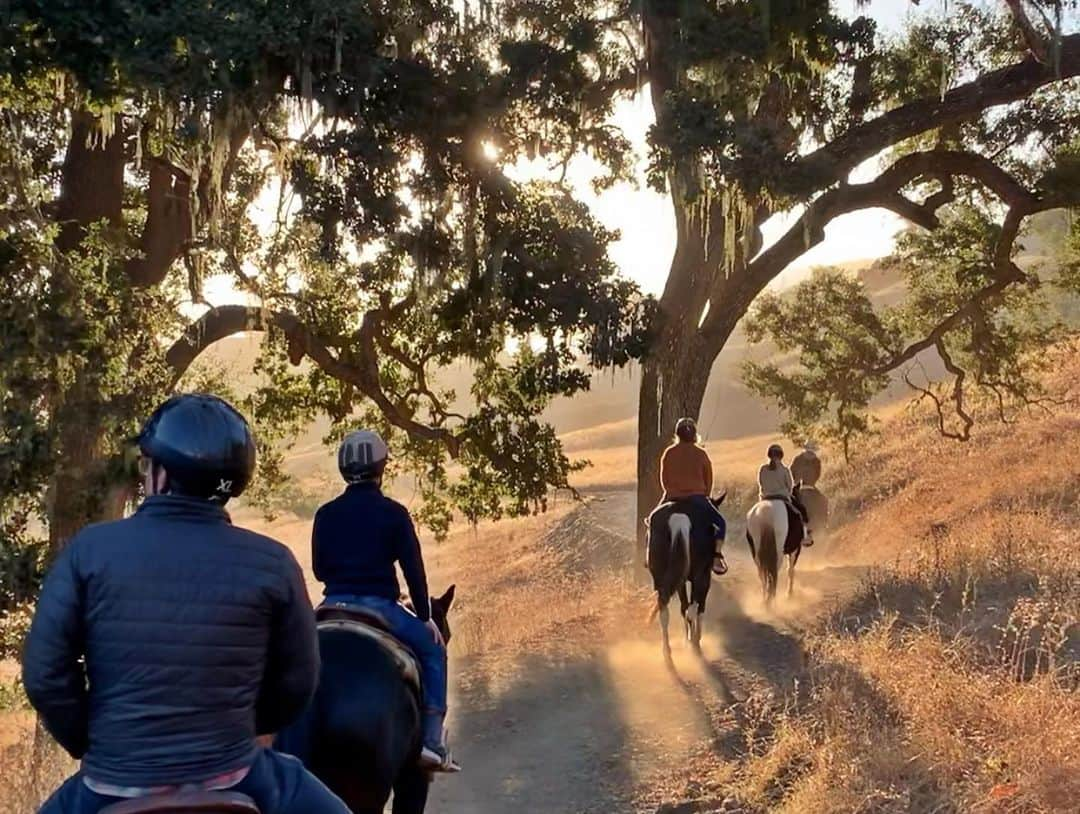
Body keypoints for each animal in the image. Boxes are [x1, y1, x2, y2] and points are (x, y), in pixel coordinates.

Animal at [643, 492, 730, 656]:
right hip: (699, 576)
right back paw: (694, 643)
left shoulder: (680, 581)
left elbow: (683, 607)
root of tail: (680, 518)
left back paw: (667, 652)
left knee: (664, 610)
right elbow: (699, 607)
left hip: (661, 577)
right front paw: (695, 637)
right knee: (693, 607)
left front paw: (687, 638)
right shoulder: (705, 577)